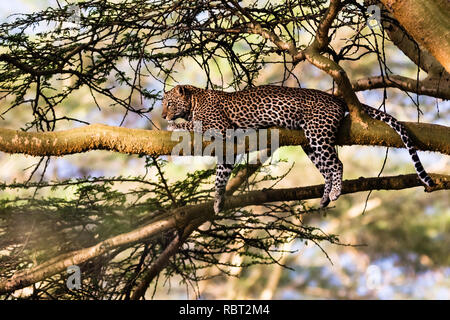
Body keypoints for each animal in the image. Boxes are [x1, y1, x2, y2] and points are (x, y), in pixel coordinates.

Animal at [160, 84, 434, 215]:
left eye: (169, 103)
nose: (162, 115)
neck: (195, 100)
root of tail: (335, 97)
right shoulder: (228, 147)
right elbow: (221, 175)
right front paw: (218, 202)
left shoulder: (221, 128)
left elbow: (195, 125)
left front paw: (176, 124)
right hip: (310, 144)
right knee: (327, 169)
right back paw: (325, 197)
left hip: (318, 133)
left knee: (337, 164)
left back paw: (335, 192)